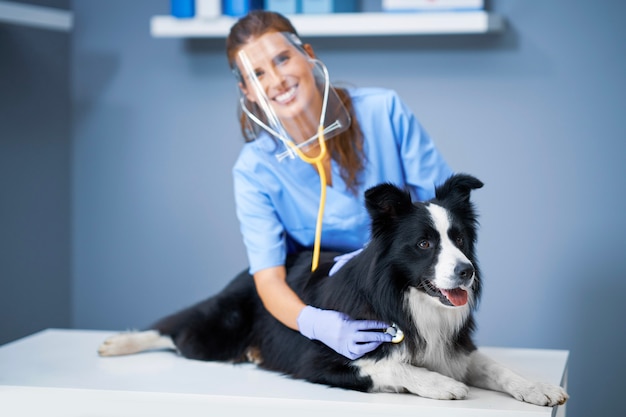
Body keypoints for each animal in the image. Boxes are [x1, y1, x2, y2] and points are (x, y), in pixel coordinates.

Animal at [97, 173, 564, 406]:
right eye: (425, 244)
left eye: (461, 239)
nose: (466, 272)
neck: (406, 299)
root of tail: (259, 269)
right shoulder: (319, 359)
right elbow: (389, 366)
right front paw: (438, 384)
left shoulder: (454, 347)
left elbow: (496, 368)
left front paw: (537, 388)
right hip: (217, 329)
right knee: (176, 332)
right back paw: (118, 343)